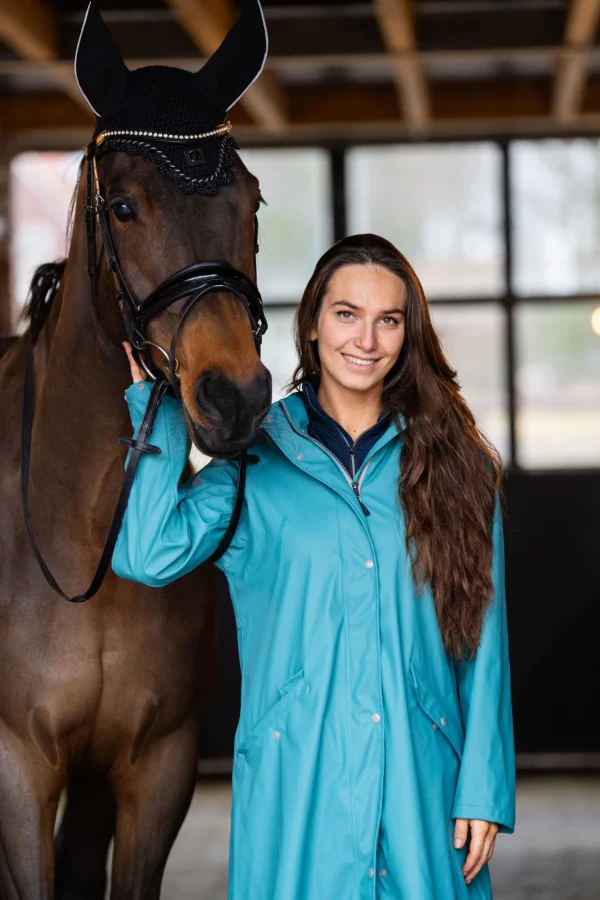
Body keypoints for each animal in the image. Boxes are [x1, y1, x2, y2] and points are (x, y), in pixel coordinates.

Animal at [0, 3, 272, 896]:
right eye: (122, 206)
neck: (85, 528)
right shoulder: (17, 769)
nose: (235, 398)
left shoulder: (154, 769)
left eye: (253, 201)